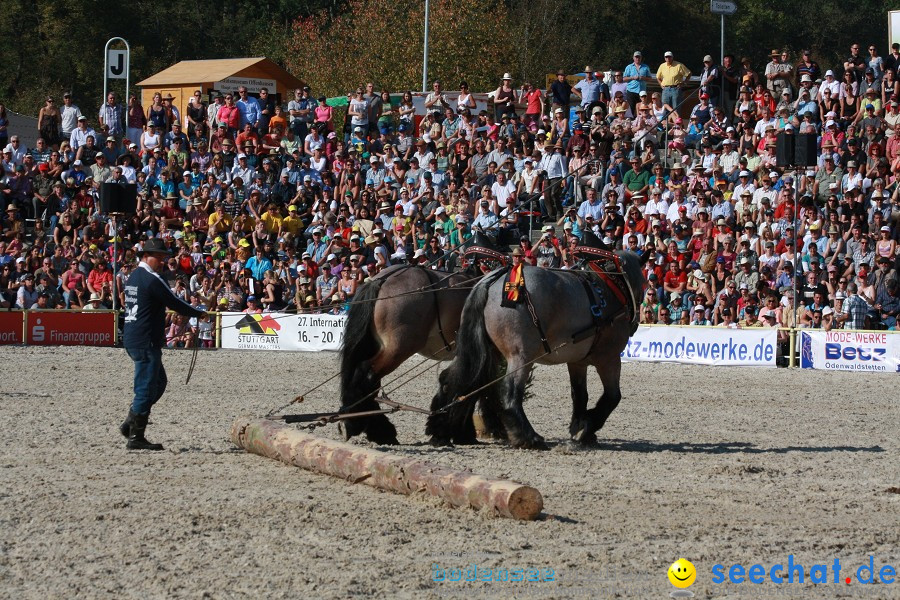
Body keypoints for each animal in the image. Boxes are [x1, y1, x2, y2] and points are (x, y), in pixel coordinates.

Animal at [428, 250, 648, 450]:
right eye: (644, 285)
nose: (635, 324)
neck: (611, 287)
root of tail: (492, 281)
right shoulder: (609, 359)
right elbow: (612, 397)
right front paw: (588, 427)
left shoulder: (577, 361)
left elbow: (579, 395)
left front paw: (579, 427)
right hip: (520, 356)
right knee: (509, 393)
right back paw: (528, 437)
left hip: (488, 352)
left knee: (460, 381)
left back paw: (445, 431)